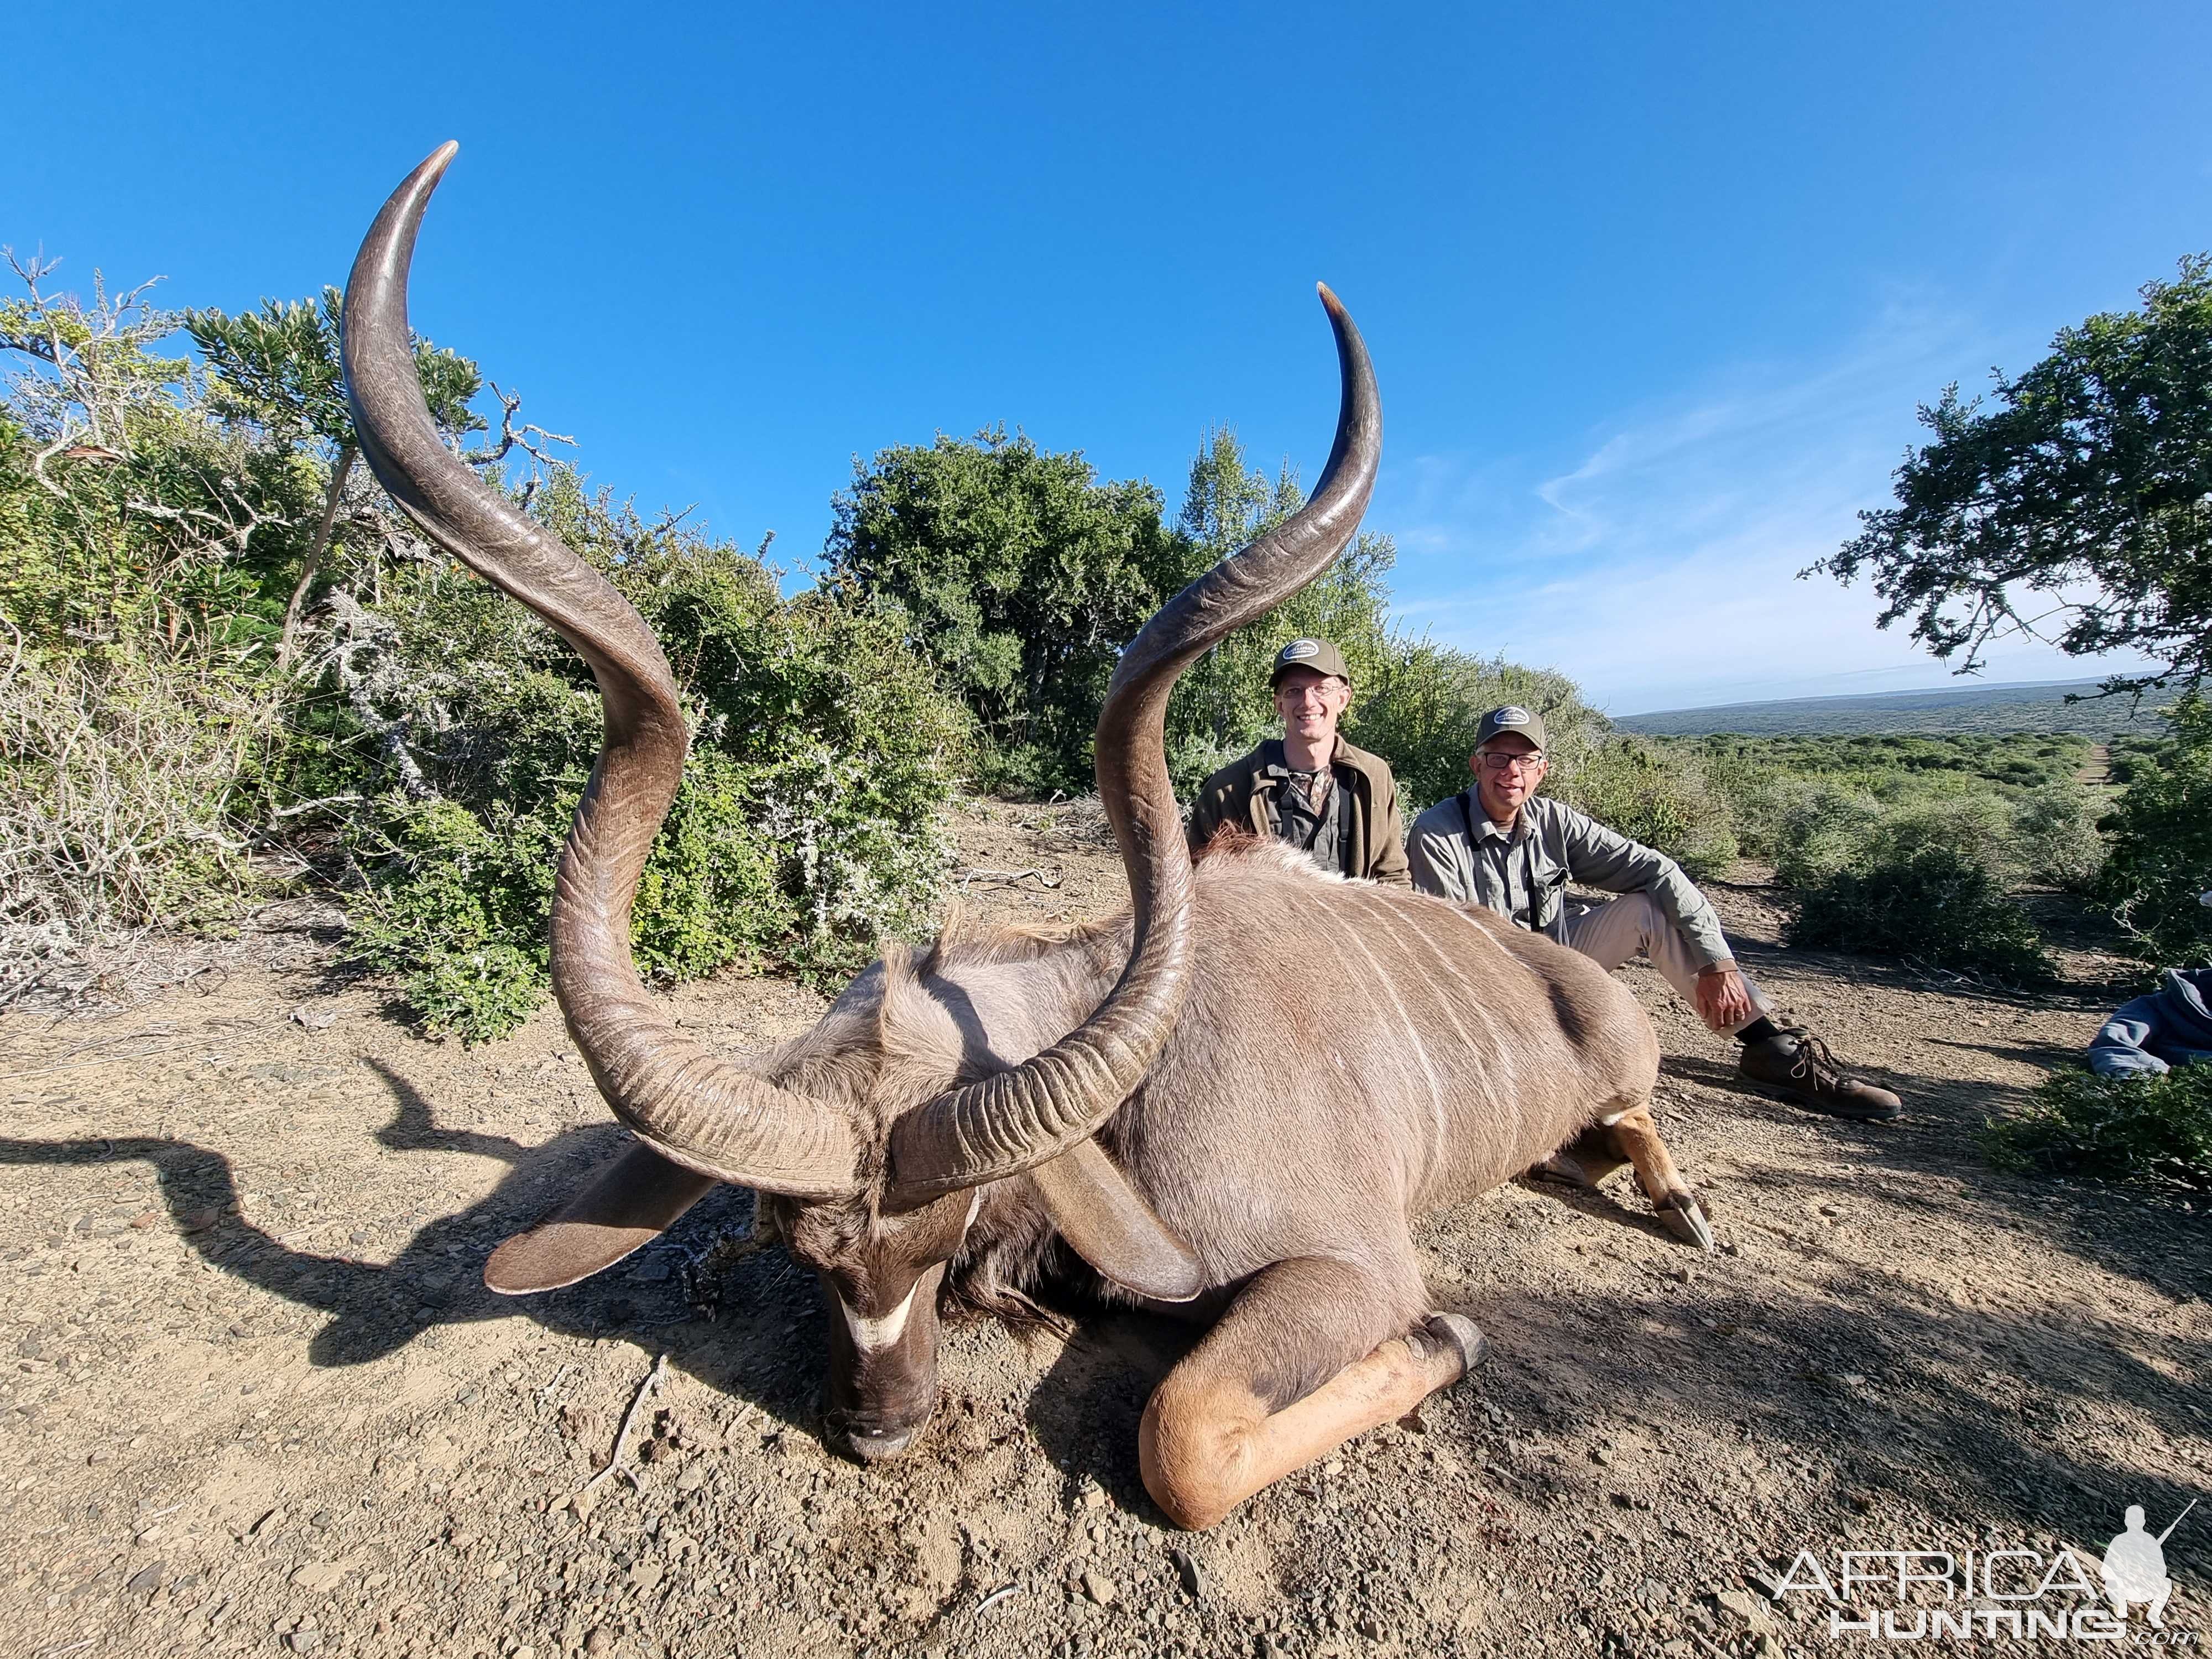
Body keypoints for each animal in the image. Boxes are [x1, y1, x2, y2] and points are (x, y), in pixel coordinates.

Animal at [341, 143, 1708, 1531]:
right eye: (800, 1253)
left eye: (941, 1240)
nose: (880, 1430)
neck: (1142, 1092)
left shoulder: (1350, 1264)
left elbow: (1182, 1436)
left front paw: (1453, 1336)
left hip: (1621, 1069)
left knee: (1639, 1113)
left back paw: (1674, 1197)